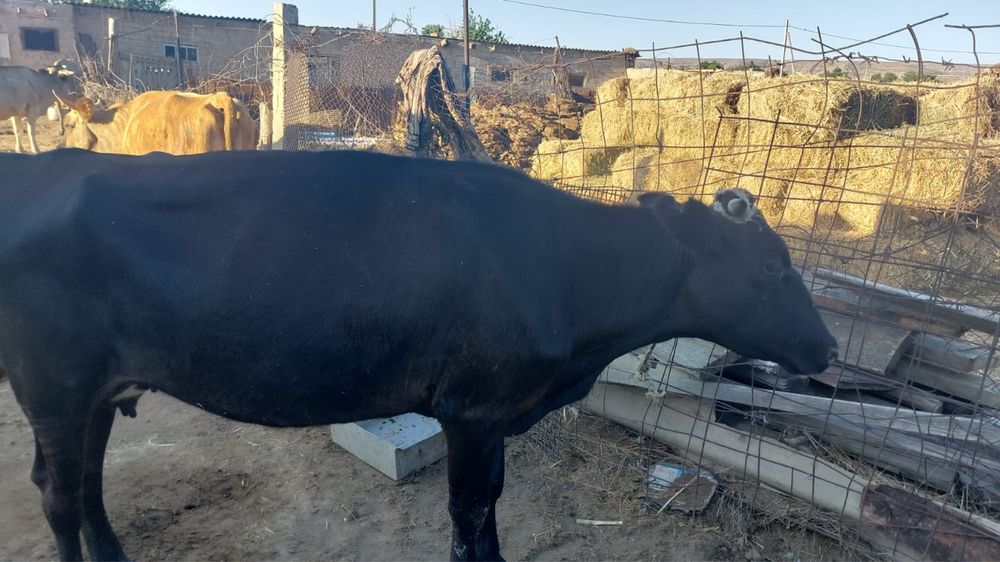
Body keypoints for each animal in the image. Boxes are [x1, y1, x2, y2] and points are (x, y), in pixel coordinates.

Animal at [0, 149, 837, 561]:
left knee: (85, 482)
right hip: (53, 383)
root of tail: (41, 162)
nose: (828, 346)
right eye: (771, 268)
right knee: (59, 493)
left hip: (100, 387)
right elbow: (469, 512)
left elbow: (491, 505)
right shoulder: (472, 408)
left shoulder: (495, 415)